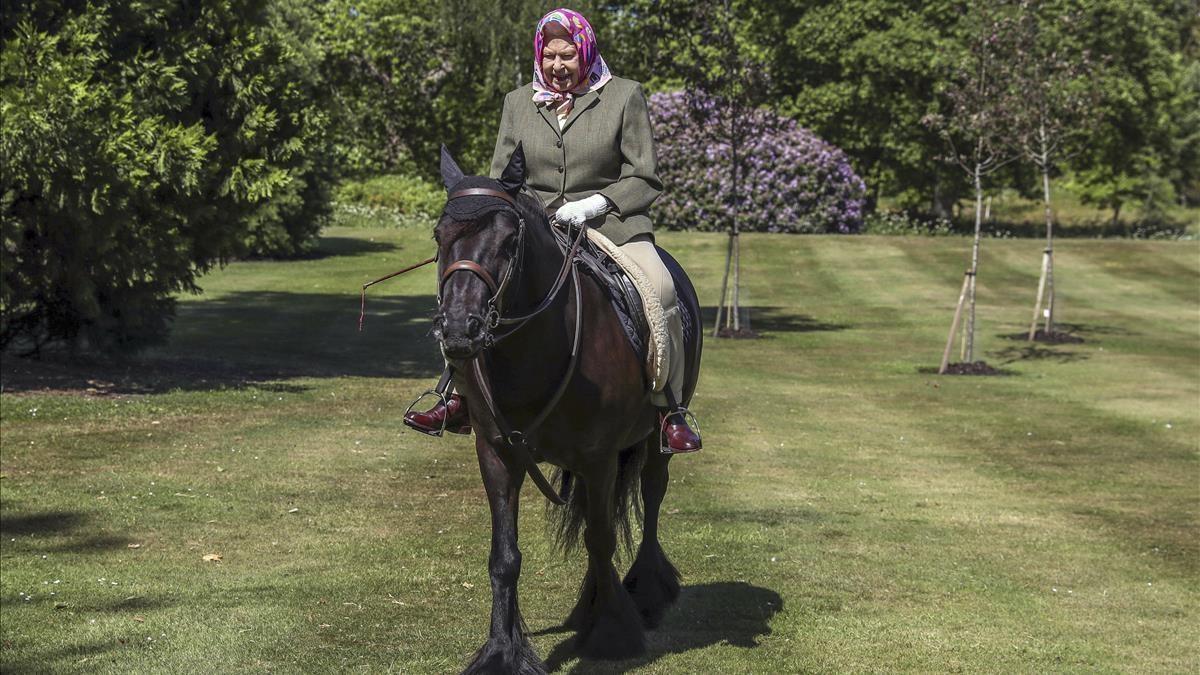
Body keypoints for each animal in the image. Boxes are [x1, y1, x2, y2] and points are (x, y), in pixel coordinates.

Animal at [432, 144, 705, 667]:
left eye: (509, 239)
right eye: (439, 236)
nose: (458, 330)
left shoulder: (599, 457)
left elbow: (601, 539)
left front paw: (612, 633)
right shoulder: (496, 453)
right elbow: (505, 557)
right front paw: (502, 651)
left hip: (655, 441)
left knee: (651, 498)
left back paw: (644, 592)